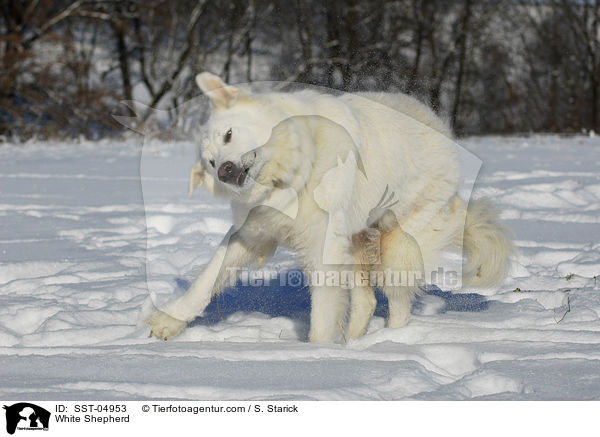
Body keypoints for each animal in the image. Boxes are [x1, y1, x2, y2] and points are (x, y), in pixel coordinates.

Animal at [144, 72, 510, 340]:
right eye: (209, 162)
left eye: (229, 135)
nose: (224, 170)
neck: (292, 177)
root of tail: (436, 123)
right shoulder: (252, 234)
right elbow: (208, 278)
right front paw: (169, 321)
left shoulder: (323, 247)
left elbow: (322, 312)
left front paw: (318, 354)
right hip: (356, 245)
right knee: (367, 301)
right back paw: (354, 342)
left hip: (396, 247)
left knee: (398, 304)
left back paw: (390, 342)